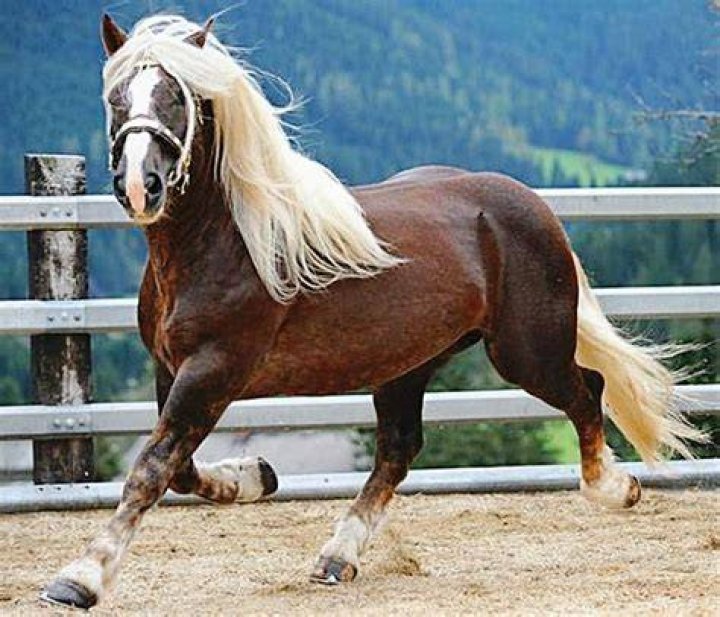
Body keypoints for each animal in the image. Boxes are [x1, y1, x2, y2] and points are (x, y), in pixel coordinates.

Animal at [40, 14, 702, 609]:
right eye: (116, 96)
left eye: (176, 96)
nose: (139, 185)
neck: (228, 241)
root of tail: (533, 206)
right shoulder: (171, 368)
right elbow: (177, 470)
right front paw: (258, 475)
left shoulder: (215, 368)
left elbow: (152, 469)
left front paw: (78, 580)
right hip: (407, 363)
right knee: (401, 449)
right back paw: (337, 558)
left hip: (526, 352)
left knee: (587, 389)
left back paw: (615, 488)